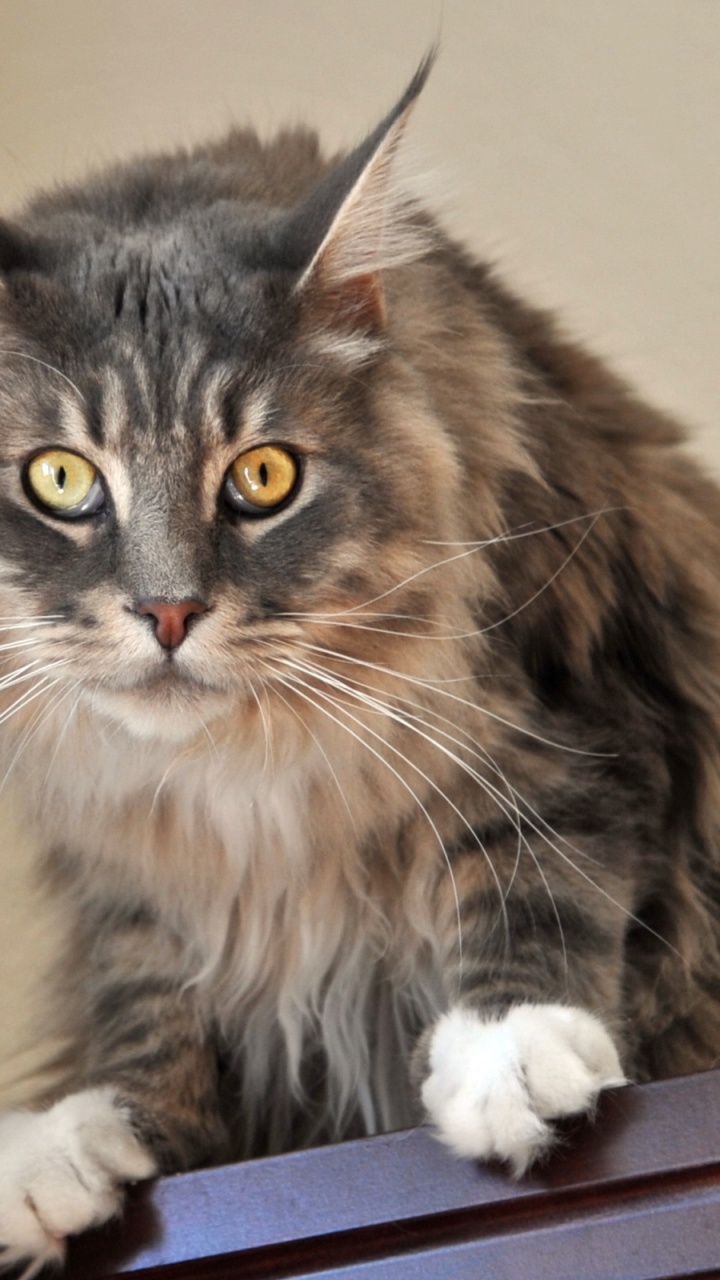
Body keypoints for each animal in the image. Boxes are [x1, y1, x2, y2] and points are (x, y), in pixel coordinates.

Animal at [0, 49, 717, 1269]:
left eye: (264, 476)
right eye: (58, 478)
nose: (168, 609)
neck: (238, 776)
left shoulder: (575, 723)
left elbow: (539, 868)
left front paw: (507, 1047)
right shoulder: (125, 867)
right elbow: (147, 1001)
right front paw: (80, 1138)